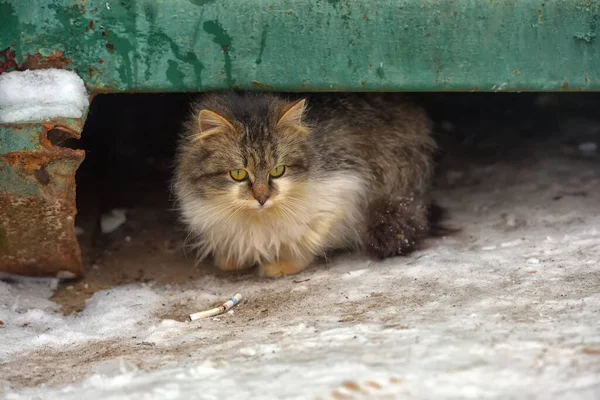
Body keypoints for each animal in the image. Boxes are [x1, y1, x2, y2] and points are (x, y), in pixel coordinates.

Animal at [172, 92, 436, 276]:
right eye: (238, 174)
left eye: (278, 171)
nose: (262, 198)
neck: (257, 218)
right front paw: (233, 258)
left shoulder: (343, 190)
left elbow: (306, 239)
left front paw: (281, 264)